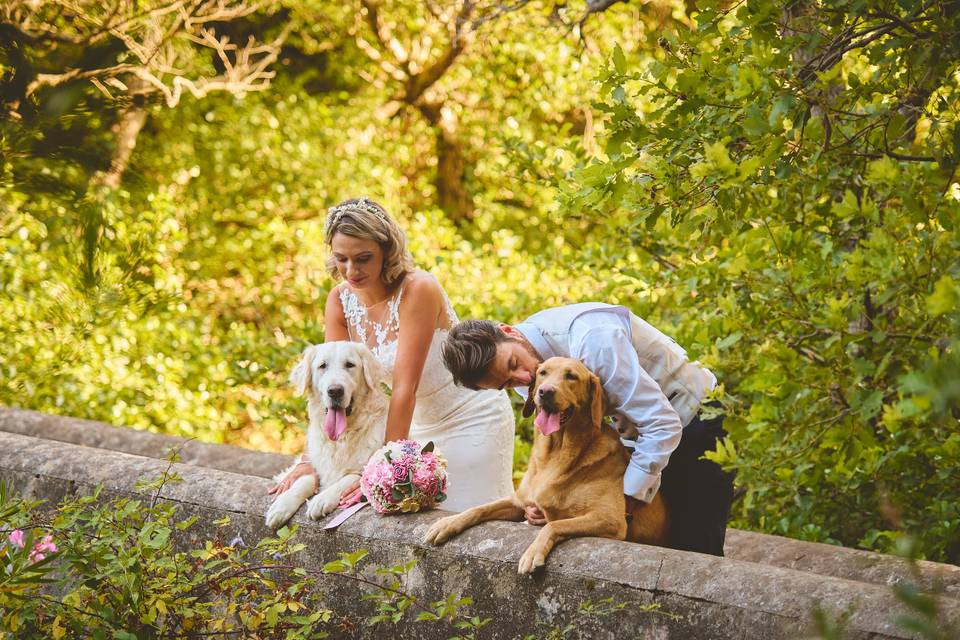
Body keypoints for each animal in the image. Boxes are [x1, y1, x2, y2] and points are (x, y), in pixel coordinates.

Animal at [264, 342, 388, 528]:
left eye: (350, 365)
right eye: (322, 366)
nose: (335, 391)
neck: (341, 439)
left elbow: (350, 477)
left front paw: (322, 499)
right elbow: (306, 478)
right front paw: (282, 505)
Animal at [424, 358, 664, 572]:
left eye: (571, 376)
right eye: (543, 373)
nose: (545, 391)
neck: (556, 452)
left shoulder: (610, 519)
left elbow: (554, 524)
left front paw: (532, 553)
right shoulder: (520, 502)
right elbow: (479, 508)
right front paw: (448, 523)